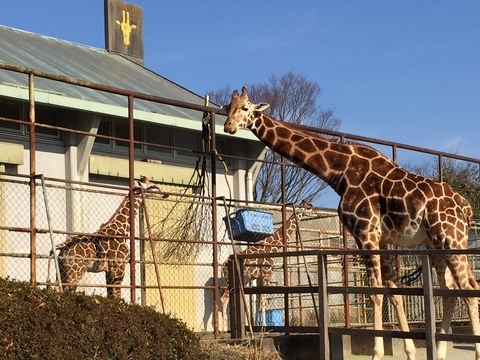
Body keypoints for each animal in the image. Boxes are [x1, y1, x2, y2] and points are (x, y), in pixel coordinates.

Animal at [225, 87, 480, 360]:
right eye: (228, 107)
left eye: (245, 108)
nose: (229, 126)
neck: (339, 172)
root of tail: (466, 208)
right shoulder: (379, 237)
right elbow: (394, 291)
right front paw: (410, 351)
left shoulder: (365, 231)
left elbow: (375, 291)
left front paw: (377, 353)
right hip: (435, 244)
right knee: (450, 290)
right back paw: (440, 353)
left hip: (451, 237)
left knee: (469, 286)